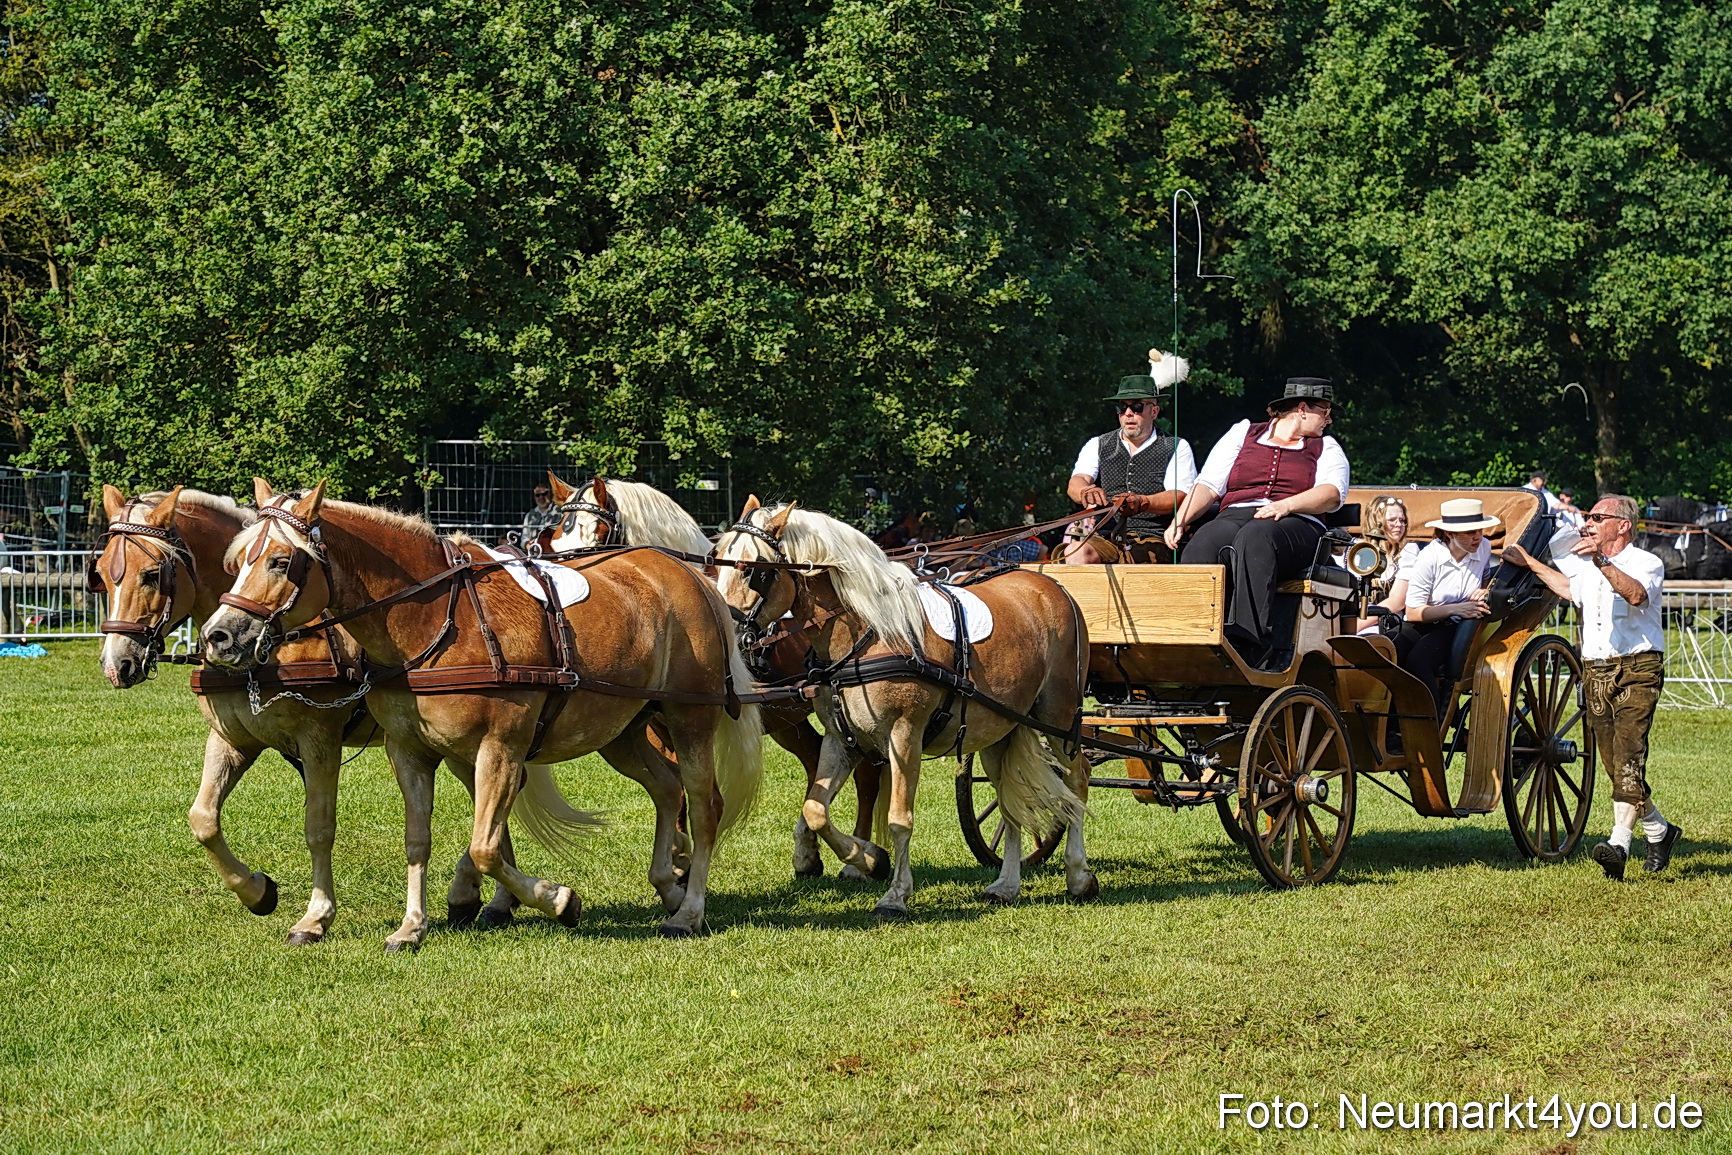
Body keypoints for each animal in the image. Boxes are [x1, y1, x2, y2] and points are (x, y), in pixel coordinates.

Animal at [92, 485, 538, 943]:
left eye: (151, 574)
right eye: (102, 575)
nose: (115, 665)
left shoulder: (319, 740)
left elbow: (319, 828)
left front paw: (315, 917)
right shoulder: (232, 739)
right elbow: (203, 819)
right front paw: (257, 891)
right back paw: (496, 901)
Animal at [200, 480, 762, 944]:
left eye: (280, 561)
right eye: (236, 562)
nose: (219, 635)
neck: (437, 620)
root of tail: (690, 575)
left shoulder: (497, 747)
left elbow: (483, 845)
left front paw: (559, 900)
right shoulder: (408, 750)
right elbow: (419, 837)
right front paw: (412, 926)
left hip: (689, 719)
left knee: (704, 804)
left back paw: (689, 911)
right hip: (619, 730)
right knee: (666, 788)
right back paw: (667, 882)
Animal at [544, 472, 887, 880]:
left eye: (597, 537)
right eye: (556, 541)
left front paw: (682, 861)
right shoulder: (660, 728)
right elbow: (675, 789)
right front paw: (678, 859)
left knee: (866, 774)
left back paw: (856, 860)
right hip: (788, 720)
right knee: (813, 759)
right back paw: (807, 854)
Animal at [713, 498, 1096, 915]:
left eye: (751, 570)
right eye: (715, 558)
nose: (723, 629)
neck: (869, 634)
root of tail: (1052, 584)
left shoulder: (905, 736)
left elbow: (899, 818)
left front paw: (895, 894)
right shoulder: (841, 739)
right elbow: (815, 809)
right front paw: (865, 858)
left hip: (1059, 718)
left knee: (1077, 779)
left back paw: (1079, 875)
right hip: (1000, 731)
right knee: (1009, 798)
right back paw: (1007, 884)